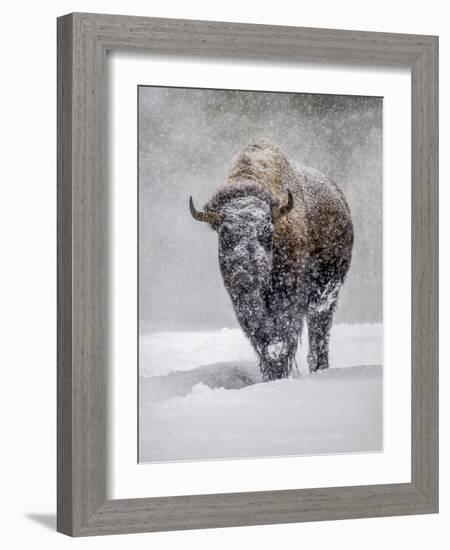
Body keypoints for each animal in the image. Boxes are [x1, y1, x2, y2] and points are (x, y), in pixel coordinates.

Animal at [189, 141, 352, 384]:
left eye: (267, 233)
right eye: (225, 234)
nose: (246, 275)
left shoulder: (290, 292)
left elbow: (283, 334)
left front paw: (278, 373)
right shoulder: (242, 300)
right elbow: (261, 335)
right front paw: (270, 374)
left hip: (327, 291)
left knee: (319, 329)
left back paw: (320, 368)